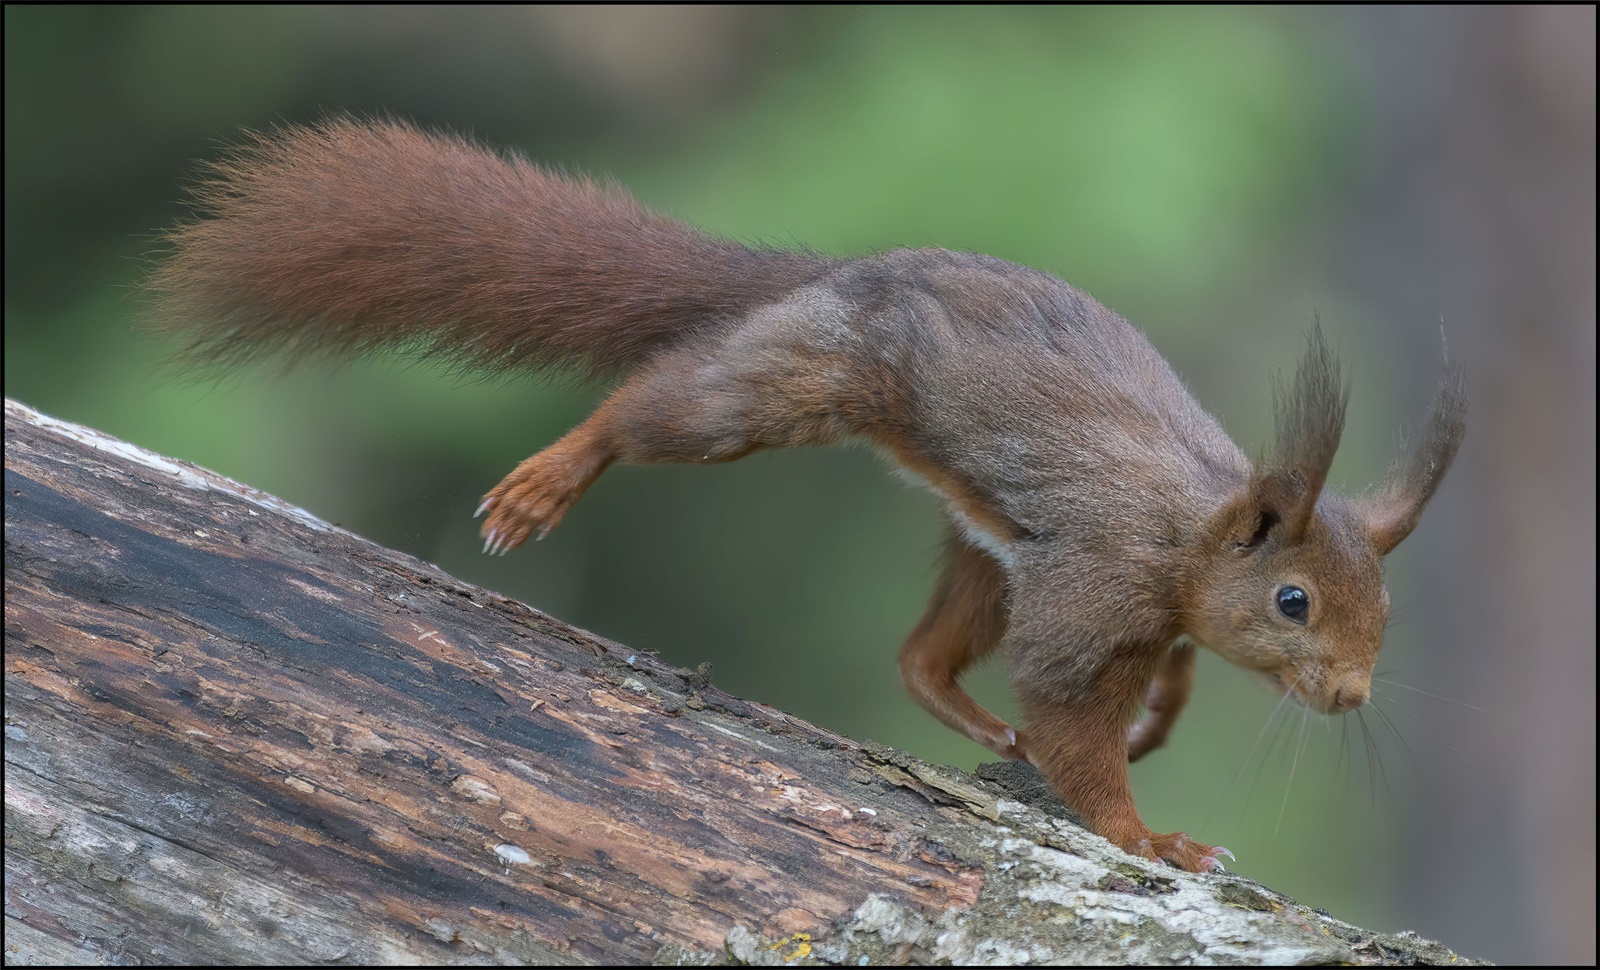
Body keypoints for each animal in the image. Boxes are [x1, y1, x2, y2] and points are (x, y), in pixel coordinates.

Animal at [147, 120, 1465, 877]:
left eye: (1389, 613)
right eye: (1294, 602)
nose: (1350, 697)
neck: (1192, 533)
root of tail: (836, 274)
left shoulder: (1125, 600)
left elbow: (1158, 677)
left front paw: (1159, 722)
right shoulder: (1093, 586)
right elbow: (1070, 719)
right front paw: (1147, 832)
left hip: (984, 542)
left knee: (921, 652)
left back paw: (967, 714)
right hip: (791, 389)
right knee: (657, 408)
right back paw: (548, 477)